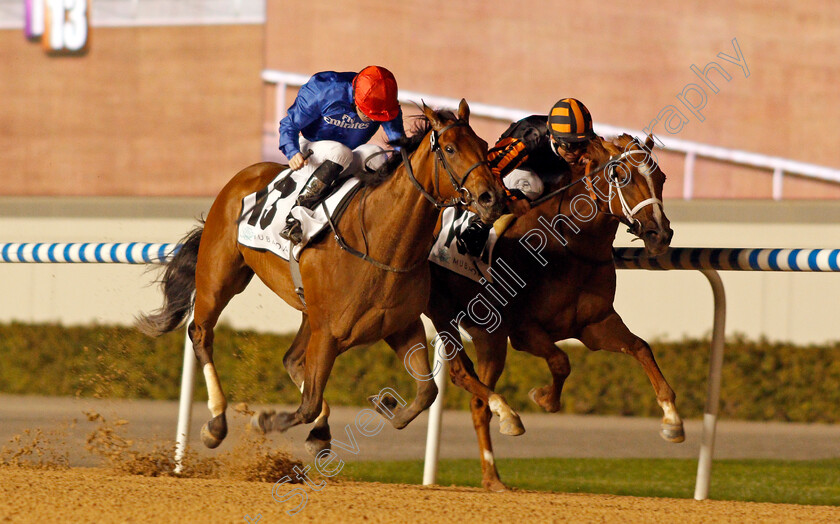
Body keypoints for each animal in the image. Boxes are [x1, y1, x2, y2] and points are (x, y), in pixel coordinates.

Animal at [139, 101, 508, 450]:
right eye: (450, 149)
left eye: (484, 144)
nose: (494, 198)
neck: (379, 244)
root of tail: (244, 176)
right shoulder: (329, 333)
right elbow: (308, 404)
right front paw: (265, 419)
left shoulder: (401, 325)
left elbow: (426, 393)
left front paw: (386, 406)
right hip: (220, 277)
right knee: (201, 333)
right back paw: (216, 423)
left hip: (307, 311)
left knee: (291, 359)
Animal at [426, 134, 684, 492]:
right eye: (624, 177)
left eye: (661, 178)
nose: (660, 234)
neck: (569, 245)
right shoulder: (524, 331)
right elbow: (562, 361)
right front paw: (544, 398)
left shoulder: (595, 325)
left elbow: (641, 347)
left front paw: (672, 420)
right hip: (462, 321)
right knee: (464, 378)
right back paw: (505, 428)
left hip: (487, 335)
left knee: (478, 401)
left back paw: (493, 476)